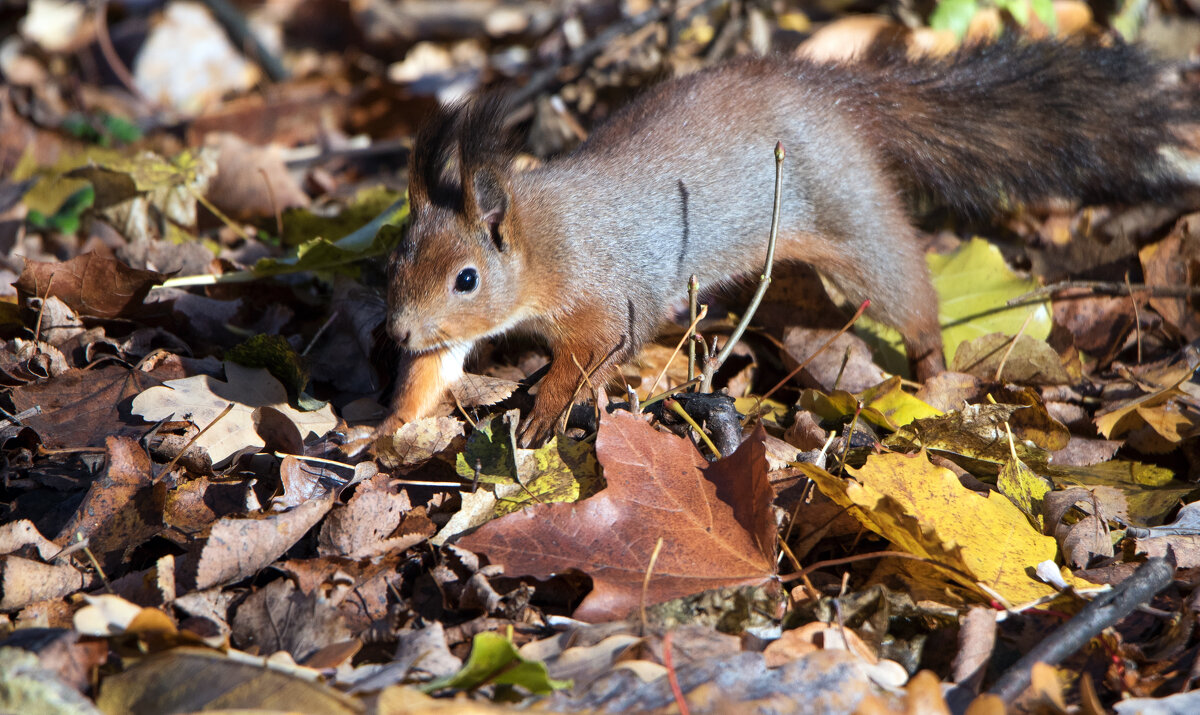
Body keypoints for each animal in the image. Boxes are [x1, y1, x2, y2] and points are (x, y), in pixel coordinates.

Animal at [384, 37, 1200, 446]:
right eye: (396, 260)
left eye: (466, 278)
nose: (395, 332)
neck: (545, 239)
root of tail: (843, 96)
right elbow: (434, 372)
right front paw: (384, 427)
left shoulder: (607, 292)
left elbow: (592, 353)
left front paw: (544, 411)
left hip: (850, 212)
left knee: (909, 288)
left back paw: (933, 371)